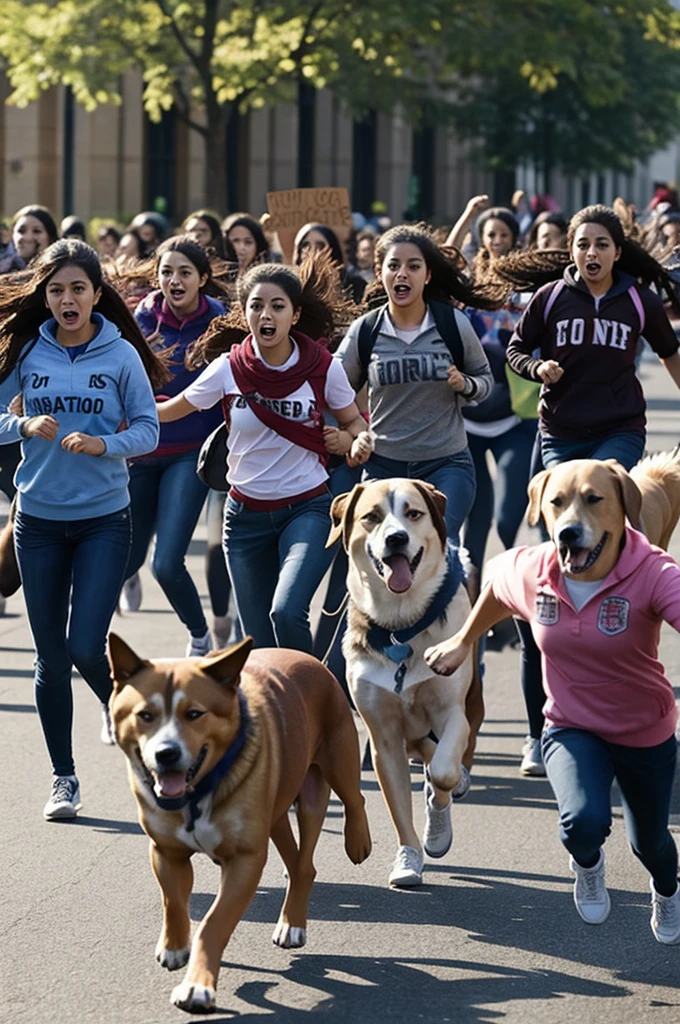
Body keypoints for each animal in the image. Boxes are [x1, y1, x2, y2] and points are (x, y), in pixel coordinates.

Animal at [109, 634, 372, 1011]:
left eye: (194, 714)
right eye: (145, 715)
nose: (166, 753)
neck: (199, 791)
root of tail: (315, 661)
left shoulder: (245, 859)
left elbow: (214, 922)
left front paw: (197, 987)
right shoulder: (165, 851)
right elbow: (174, 901)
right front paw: (174, 947)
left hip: (333, 764)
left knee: (347, 804)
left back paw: (351, 848)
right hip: (274, 809)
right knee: (296, 862)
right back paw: (291, 913)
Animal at [325, 479, 481, 888]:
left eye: (413, 513)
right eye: (372, 516)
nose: (396, 538)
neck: (401, 628)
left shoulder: (451, 711)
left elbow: (444, 771)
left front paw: (438, 824)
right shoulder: (383, 734)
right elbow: (398, 800)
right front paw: (408, 861)